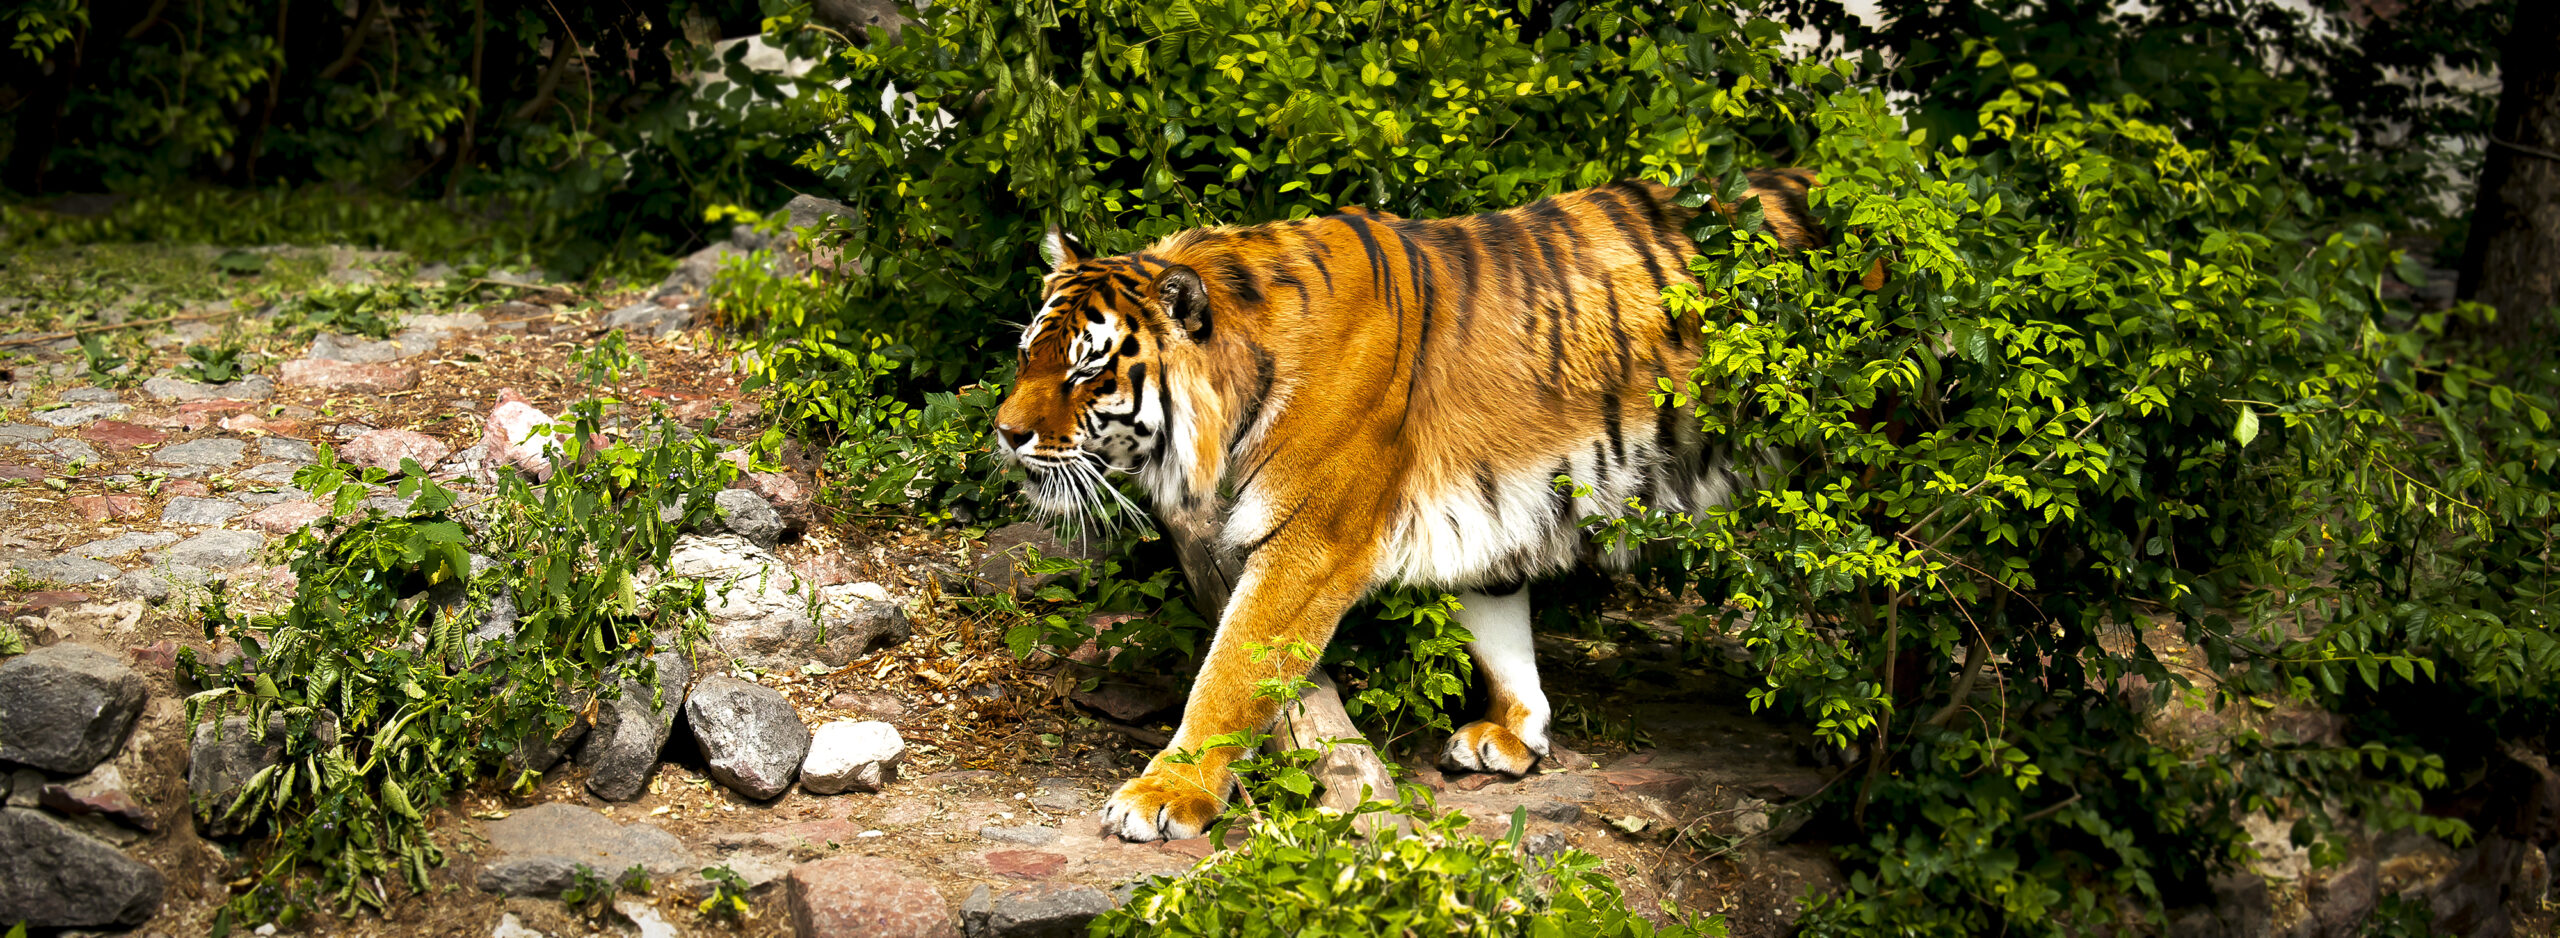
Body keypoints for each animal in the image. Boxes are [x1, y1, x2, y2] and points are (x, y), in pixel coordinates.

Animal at [993, 171, 1830, 842]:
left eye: (1086, 373)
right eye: (1027, 355)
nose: (1004, 433)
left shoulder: (1311, 541)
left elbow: (1231, 673)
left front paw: (1167, 794)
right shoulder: (1496, 503)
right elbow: (1498, 623)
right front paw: (1519, 733)